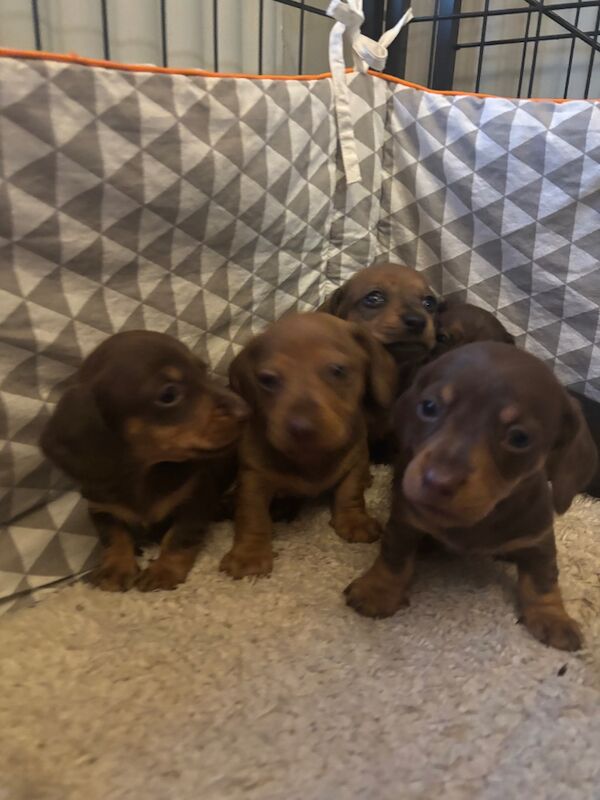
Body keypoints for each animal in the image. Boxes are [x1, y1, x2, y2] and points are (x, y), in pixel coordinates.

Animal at [39, 328, 247, 592]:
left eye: (204, 371)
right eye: (169, 394)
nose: (246, 410)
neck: (143, 472)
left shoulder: (195, 500)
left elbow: (178, 537)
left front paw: (164, 570)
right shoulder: (101, 508)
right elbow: (114, 537)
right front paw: (115, 567)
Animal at [218, 310, 396, 580]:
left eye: (338, 370)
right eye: (267, 380)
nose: (301, 427)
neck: (310, 457)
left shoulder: (355, 460)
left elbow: (350, 493)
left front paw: (354, 521)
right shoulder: (253, 477)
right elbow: (252, 514)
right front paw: (249, 554)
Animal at [344, 342, 596, 648]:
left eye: (520, 438)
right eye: (429, 406)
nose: (437, 481)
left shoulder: (538, 537)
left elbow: (543, 579)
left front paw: (552, 616)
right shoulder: (405, 520)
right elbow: (394, 555)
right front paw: (378, 590)